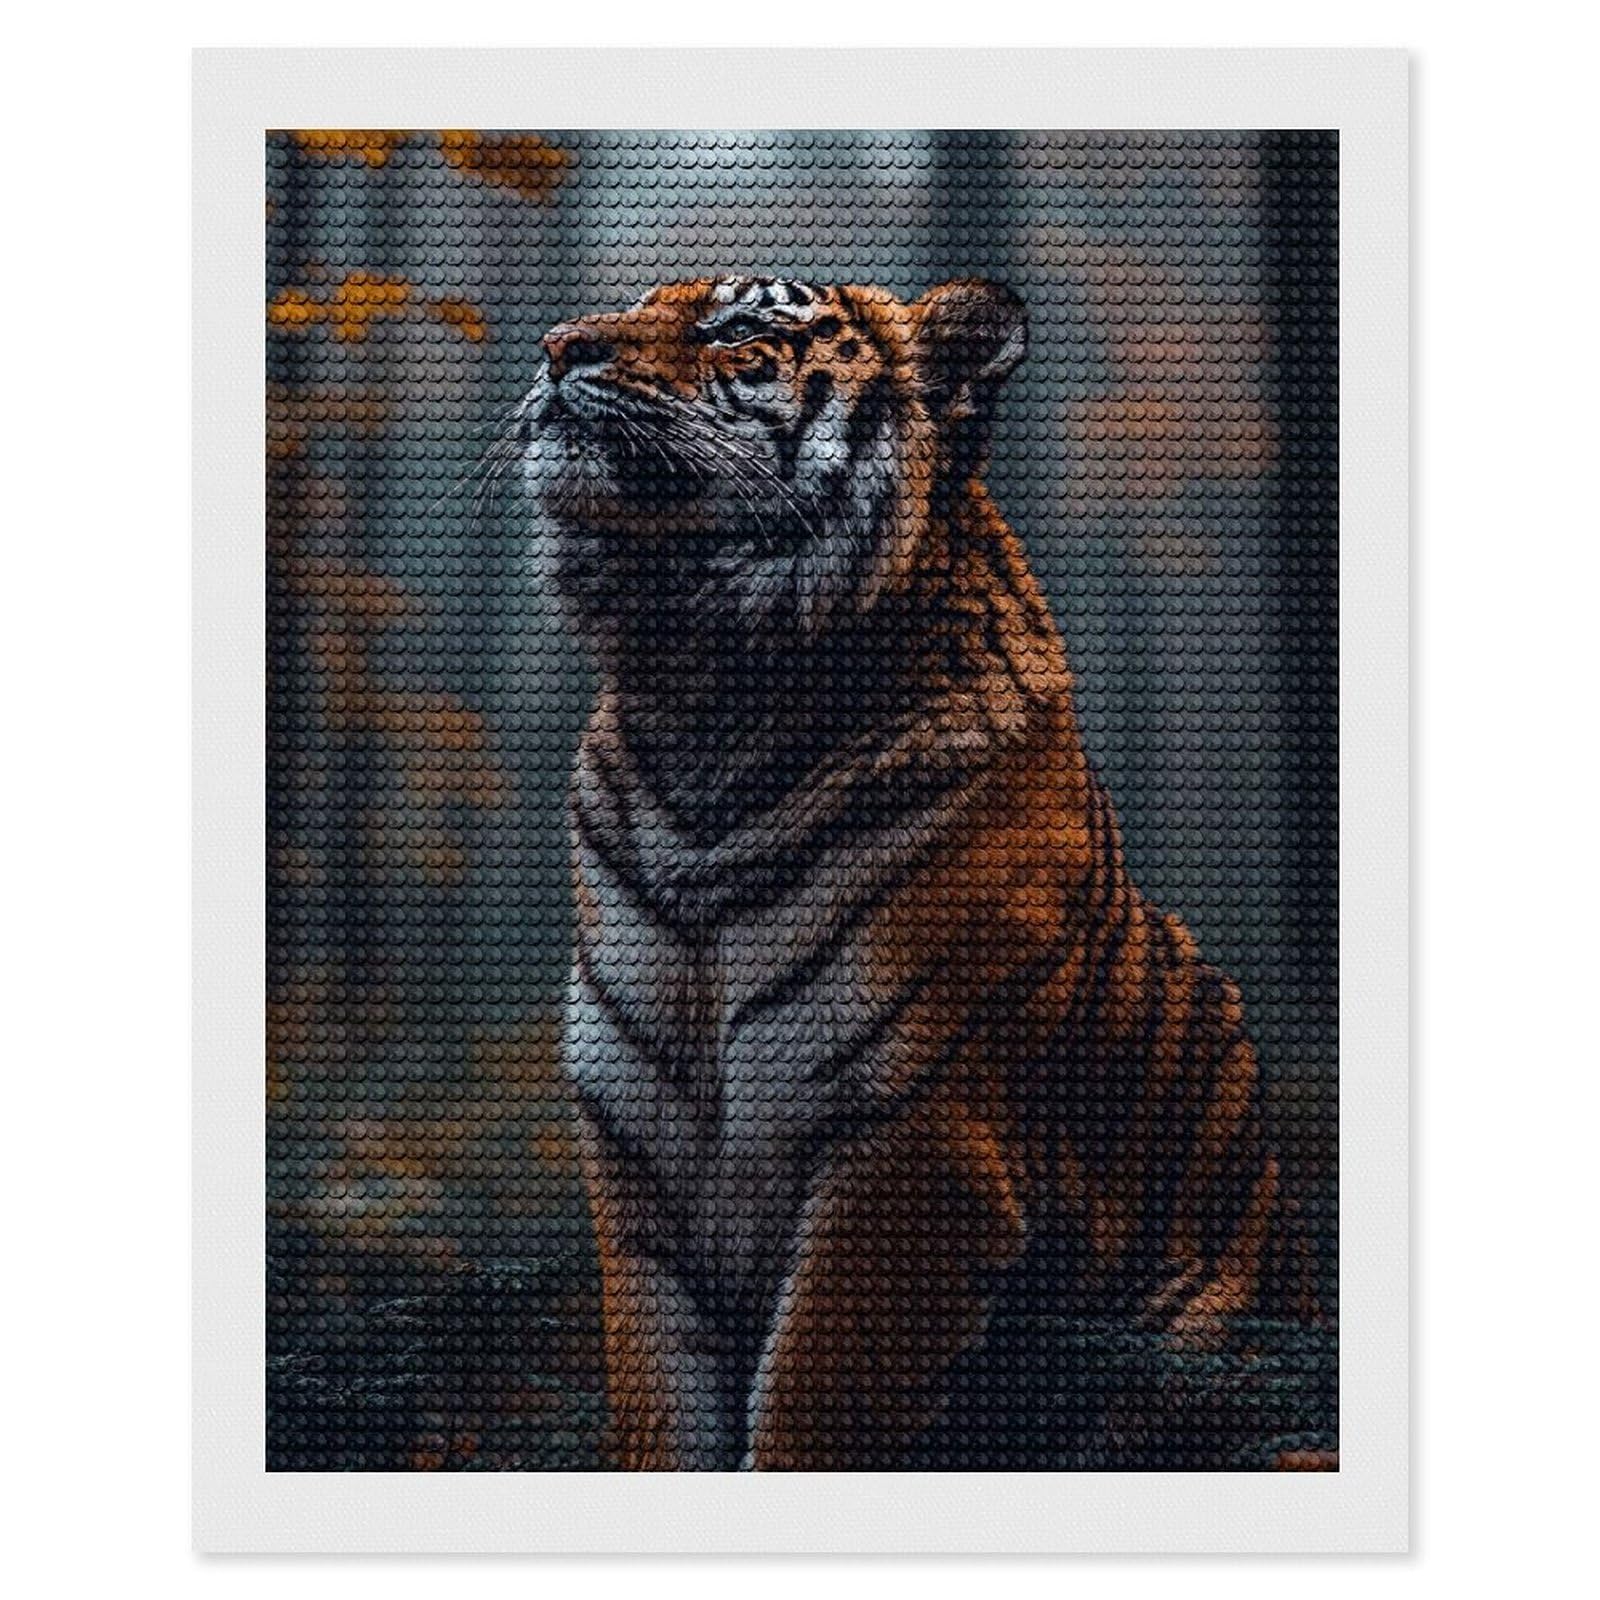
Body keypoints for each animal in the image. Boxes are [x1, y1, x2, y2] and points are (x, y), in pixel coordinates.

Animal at [520, 275, 1327, 1471]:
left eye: (738, 332)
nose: (556, 345)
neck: (699, 699)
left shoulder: (913, 1148)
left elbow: (807, 1420)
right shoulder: (635, 1162)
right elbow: (661, 1418)